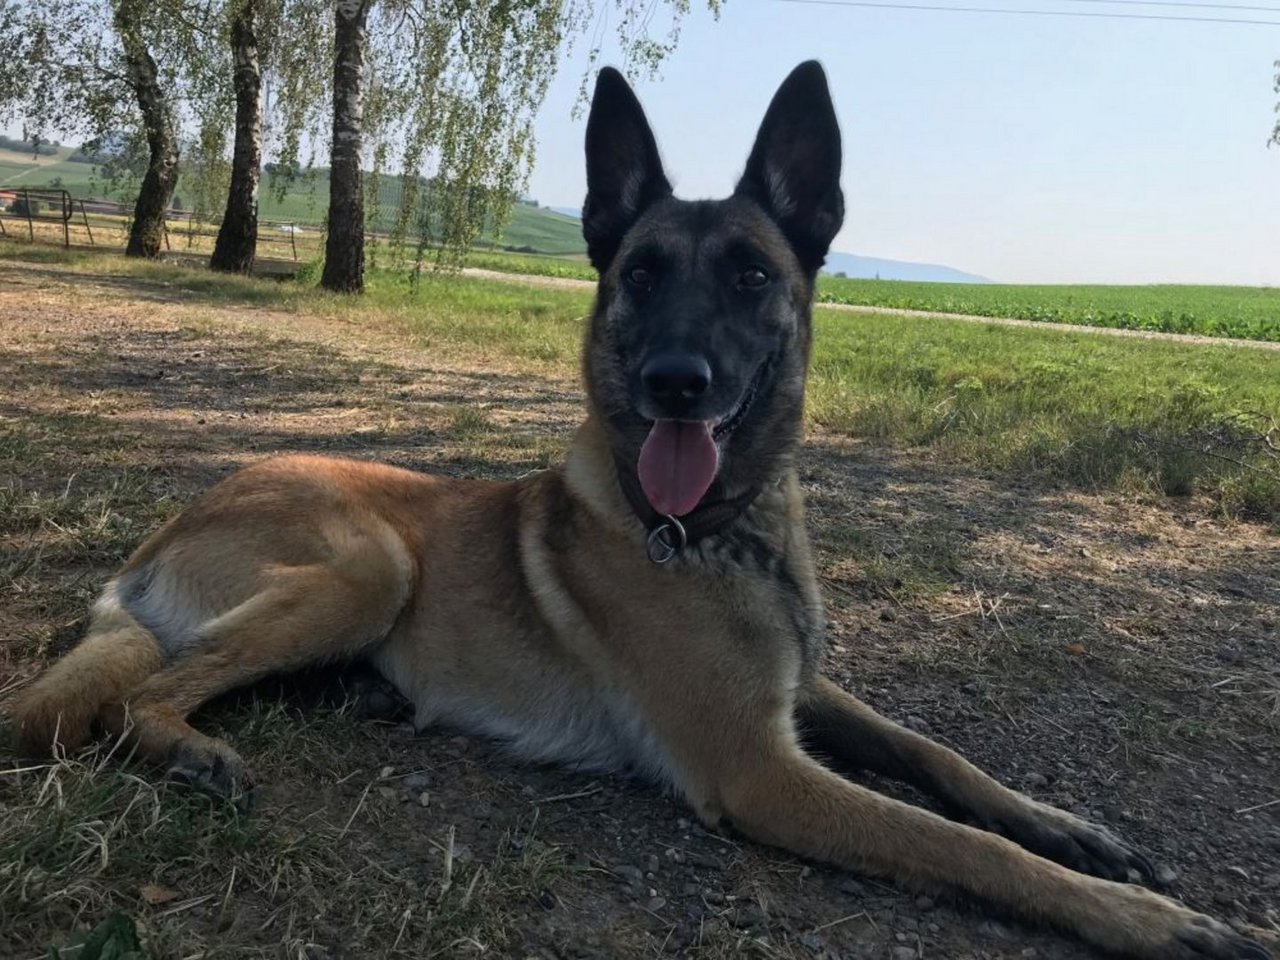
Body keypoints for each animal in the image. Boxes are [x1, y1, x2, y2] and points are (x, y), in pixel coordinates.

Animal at [8, 62, 1268, 960]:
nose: (676, 383)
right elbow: (956, 844)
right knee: (137, 697)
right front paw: (1150, 922)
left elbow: (936, 758)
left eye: (753, 276)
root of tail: (162, 533)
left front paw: (1066, 827)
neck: (721, 537)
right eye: (642, 274)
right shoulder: (759, 769)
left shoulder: (798, 695)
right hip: (369, 568)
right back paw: (189, 748)